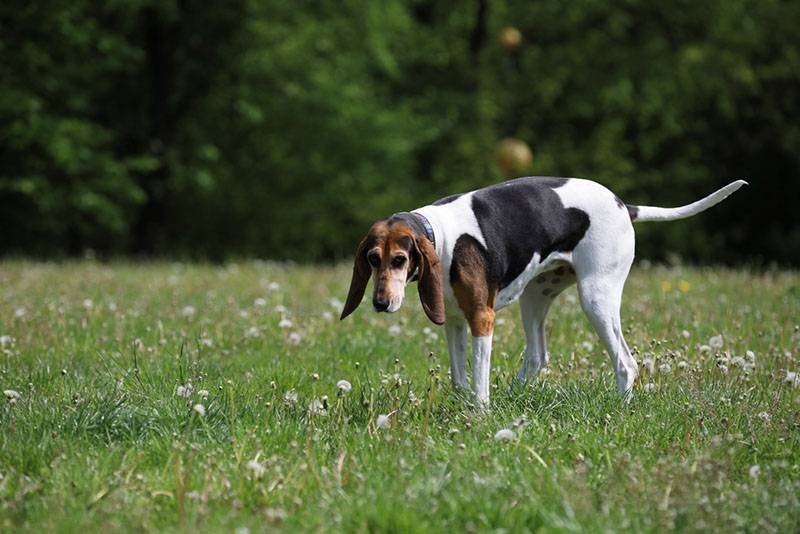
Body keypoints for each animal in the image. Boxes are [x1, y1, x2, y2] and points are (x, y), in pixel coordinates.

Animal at [340, 177, 748, 406]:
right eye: (373, 259)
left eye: (399, 260)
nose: (380, 303)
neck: (440, 235)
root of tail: (623, 204)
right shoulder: (455, 323)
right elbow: (459, 379)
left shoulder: (481, 319)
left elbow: (478, 382)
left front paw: (480, 415)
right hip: (534, 299)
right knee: (537, 357)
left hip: (596, 299)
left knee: (626, 363)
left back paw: (619, 410)